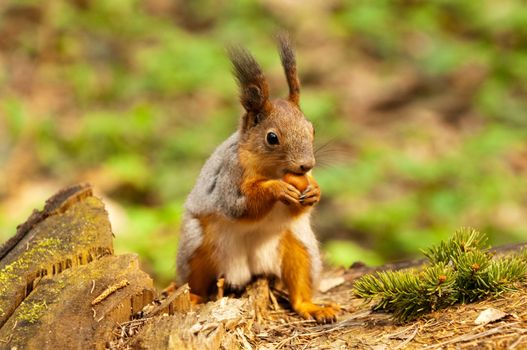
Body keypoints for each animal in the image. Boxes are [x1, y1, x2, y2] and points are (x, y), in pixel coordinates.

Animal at [175, 35, 340, 322]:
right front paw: (277, 189)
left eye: (312, 129)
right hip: (196, 247)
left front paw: (315, 191)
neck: (273, 170)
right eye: (271, 137)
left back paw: (313, 307)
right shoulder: (229, 178)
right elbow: (240, 207)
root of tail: (248, 268)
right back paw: (193, 297)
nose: (306, 165)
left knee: (299, 287)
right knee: (195, 281)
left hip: (301, 249)